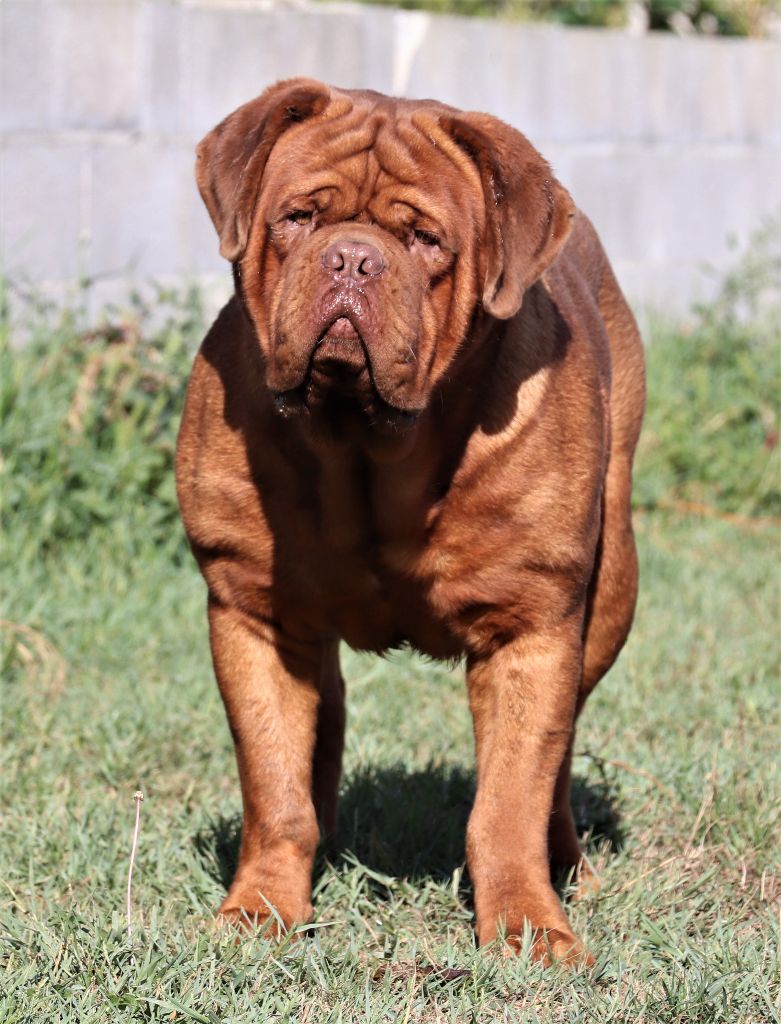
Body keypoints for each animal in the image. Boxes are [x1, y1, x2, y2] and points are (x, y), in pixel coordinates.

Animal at [176, 78, 645, 965]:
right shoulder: (250, 613)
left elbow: (508, 802)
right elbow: (274, 783)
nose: (352, 258)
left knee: (558, 757)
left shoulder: (530, 630)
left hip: (609, 597)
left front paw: (527, 929)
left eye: (424, 239)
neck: (365, 446)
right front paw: (261, 911)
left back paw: (567, 868)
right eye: (298, 218)